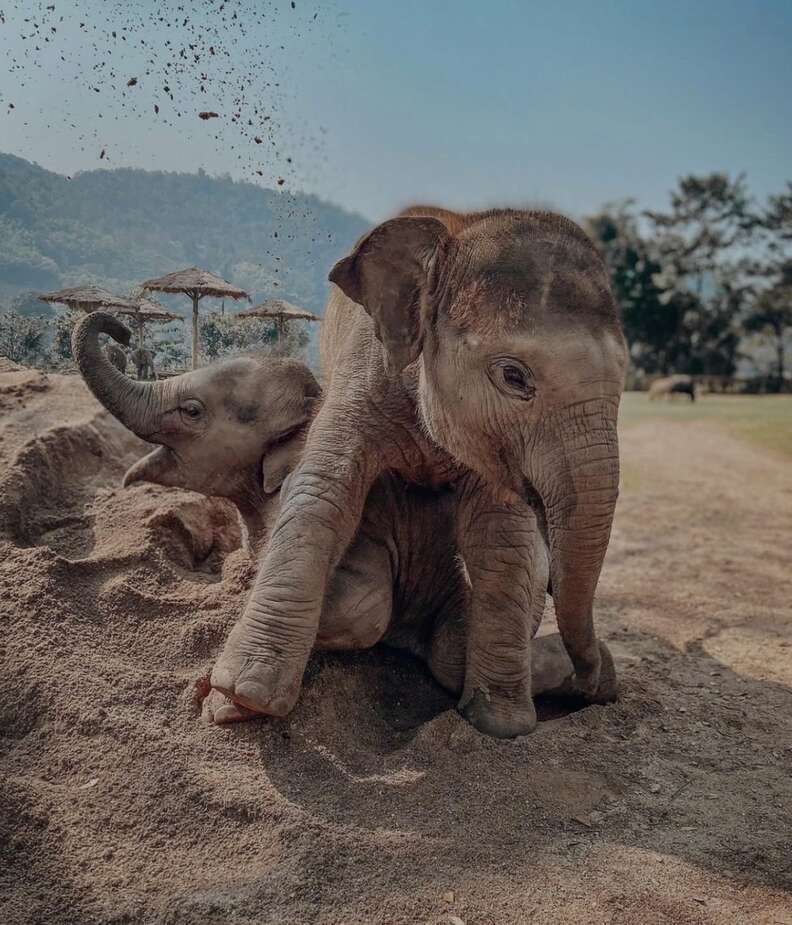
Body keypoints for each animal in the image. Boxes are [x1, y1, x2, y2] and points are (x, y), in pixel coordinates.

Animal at [71, 310, 600, 728]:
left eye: (192, 411)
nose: (120, 331)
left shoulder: (369, 517)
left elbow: (365, 608)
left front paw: (217, 700)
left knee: (450, 659)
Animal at [207, 208, 628, 736]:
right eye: (514, 377)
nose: (589, 679)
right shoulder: (363, 373)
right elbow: (323, 494)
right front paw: (238, 701)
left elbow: (500, 536)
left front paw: (501, 725)